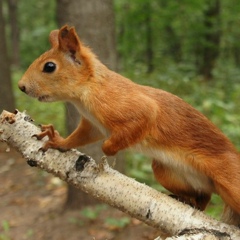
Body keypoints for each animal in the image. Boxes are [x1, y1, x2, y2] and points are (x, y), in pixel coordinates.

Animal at [18, 24, 240, 225]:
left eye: (49, 66)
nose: (21, 86)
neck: (88, 89)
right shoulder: (93, 125)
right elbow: (81, 137)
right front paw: (57, 141)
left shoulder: (131, 107)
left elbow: (135, 123)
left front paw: (109, 149)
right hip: (166, 171)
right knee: (204, 197)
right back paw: (186, 199)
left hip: (230, 178)